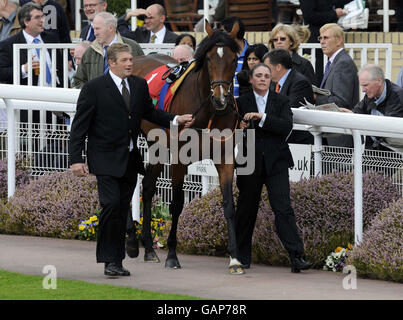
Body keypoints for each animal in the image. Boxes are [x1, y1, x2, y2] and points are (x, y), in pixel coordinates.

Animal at [131, 21, 245, 274]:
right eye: (210, 58)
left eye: (234, 59)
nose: (221, 99)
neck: (208, 111)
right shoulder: (179, 159)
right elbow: (177, 204)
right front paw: (172, 255)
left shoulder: (224, 156)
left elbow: (229, 204)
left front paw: (234, 258)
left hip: (157, 145)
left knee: (148, 186)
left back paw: (149, 249)